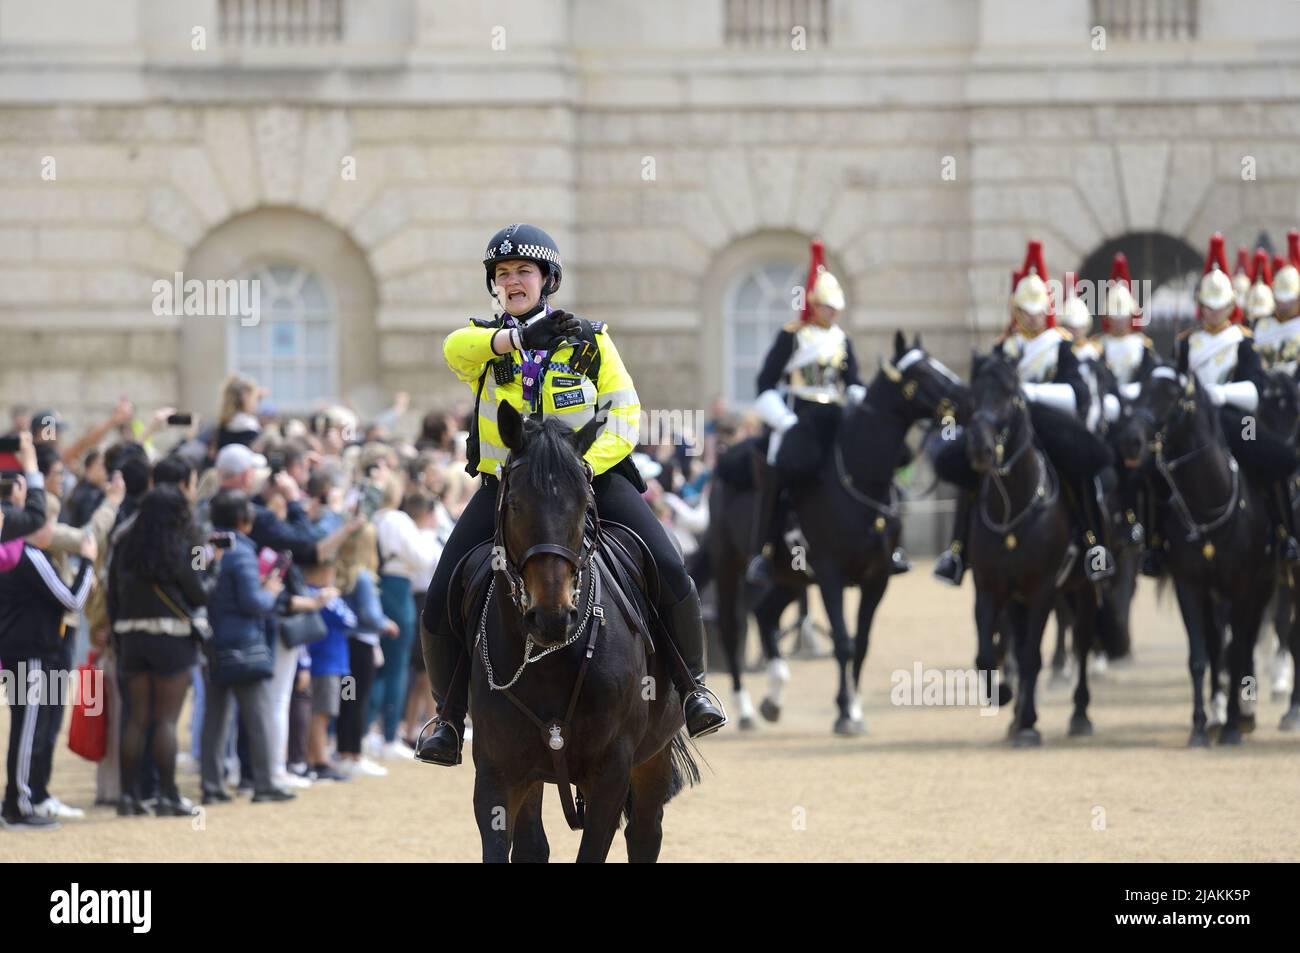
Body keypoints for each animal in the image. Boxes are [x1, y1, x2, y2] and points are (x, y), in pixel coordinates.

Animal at [462, 400, 696, 863]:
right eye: (514, 503)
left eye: (584, 502)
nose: (552, 617)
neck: (549, 660)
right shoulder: (498, 774)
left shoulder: (611, 773)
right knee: (533, 844)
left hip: (653, 758)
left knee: (645, 833)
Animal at [707, 330, 972, 733]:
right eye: (922, 373)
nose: (968, 400)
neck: (860, 480)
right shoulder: (831, 574)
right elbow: (843, 642)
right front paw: (846, 713)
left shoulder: (877, 577)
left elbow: (861, 643)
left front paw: (855, 710)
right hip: (729, 565)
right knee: (730, 628)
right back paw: (746, 708)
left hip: (793, 576)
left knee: (766, 615)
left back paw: (773, 697)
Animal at [1112, 364, 1274, 743]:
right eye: (1141, 389)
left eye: (1173, 395)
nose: (1130, 441)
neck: (1208, 507)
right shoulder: (1190, 586)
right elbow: (1200, 657)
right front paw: (1201, 726)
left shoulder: (1241, 588)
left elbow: (1237, 652)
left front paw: (1232, 726)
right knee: (1216, 647)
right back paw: (1217, 713)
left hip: (1261, 587)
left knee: (1243, 644)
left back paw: (1243, 715)